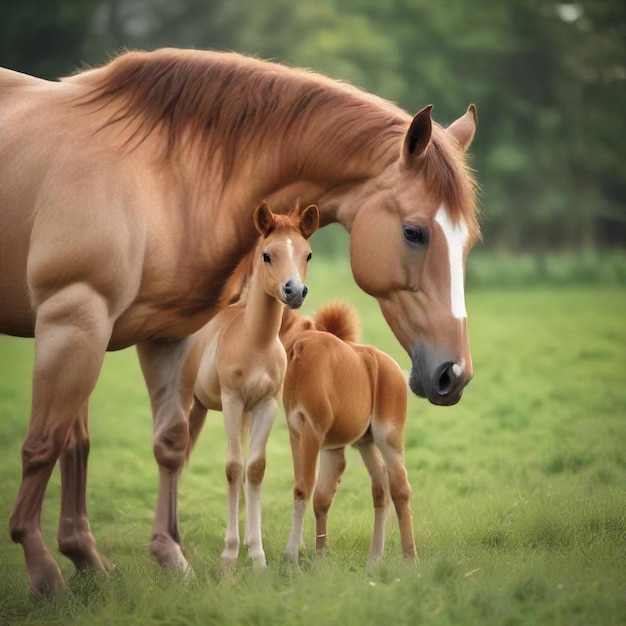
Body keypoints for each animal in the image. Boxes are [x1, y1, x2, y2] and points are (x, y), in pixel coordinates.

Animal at [280, 302, 414, 564]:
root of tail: (395, 370)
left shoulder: (312, 432)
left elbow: (305, 489)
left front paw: (291, 554)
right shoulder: (302, 437)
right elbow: (320, 496)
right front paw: (319, 554)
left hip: (388, 438)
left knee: (400, 487)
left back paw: (410, 560)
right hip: (366, 443)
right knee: (381, 484)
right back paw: (374, 559)